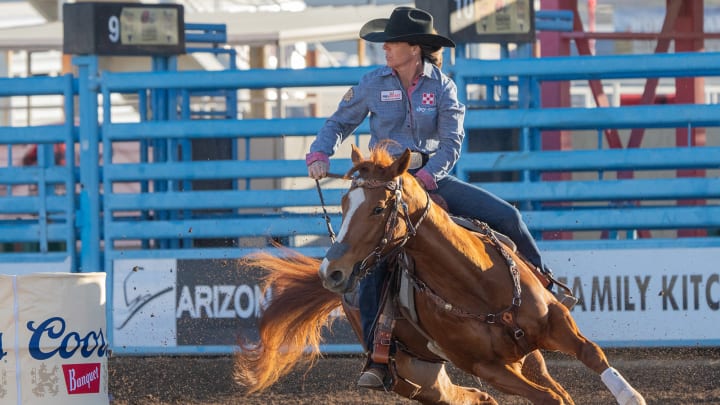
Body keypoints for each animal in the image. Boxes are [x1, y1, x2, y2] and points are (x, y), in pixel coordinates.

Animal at [236, 144, 648, 402]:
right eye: (342, 204)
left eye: (378, 207)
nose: (331, 271)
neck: (477, 282)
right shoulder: (488, 367)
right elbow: (549, 399)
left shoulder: (554, 321)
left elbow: (592, 354)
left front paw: (632, 396)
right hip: (415, 377)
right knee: (470, 397)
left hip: (526, 355)